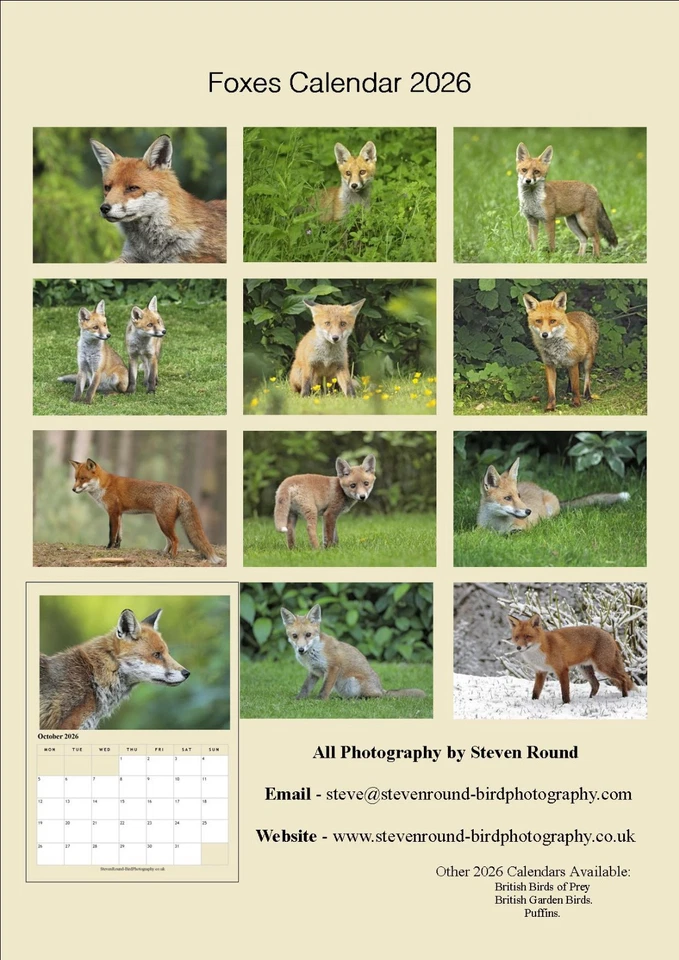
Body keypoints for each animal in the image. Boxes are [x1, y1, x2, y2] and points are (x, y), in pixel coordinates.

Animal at [69, 458, 224, 564]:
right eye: (75, 478)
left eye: (83, 478)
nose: (73, 489)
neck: (104, 485)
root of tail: (179, 489)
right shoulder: (120, 514)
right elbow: (120, 534)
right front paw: (117, 548)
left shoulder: (112, 513)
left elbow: (112, 533)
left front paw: (109, 548)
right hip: (163, 523)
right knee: (169, 541)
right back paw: (163, 553)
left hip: (163, 522)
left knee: (175, 539)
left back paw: (173, 557)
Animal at [281, 604, 426, 700]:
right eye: (295, 636)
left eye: (308, 635)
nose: (301, 649)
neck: (314, 652)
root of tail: (381, 688)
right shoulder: (314, 672)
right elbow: (305, 687)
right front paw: (298, 700)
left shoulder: (333, 667)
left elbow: (324, 689)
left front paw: (319, 701)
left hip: (353, 682)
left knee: (377, 697)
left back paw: (360, 700)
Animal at [477, 457, 629, 534]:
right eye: (507, 498)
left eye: (519, 496)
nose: (528, 511)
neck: (497, 526)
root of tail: (539, 488)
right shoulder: (481, 530)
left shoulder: (522, 529)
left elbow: (515, 532)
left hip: (551, 511)